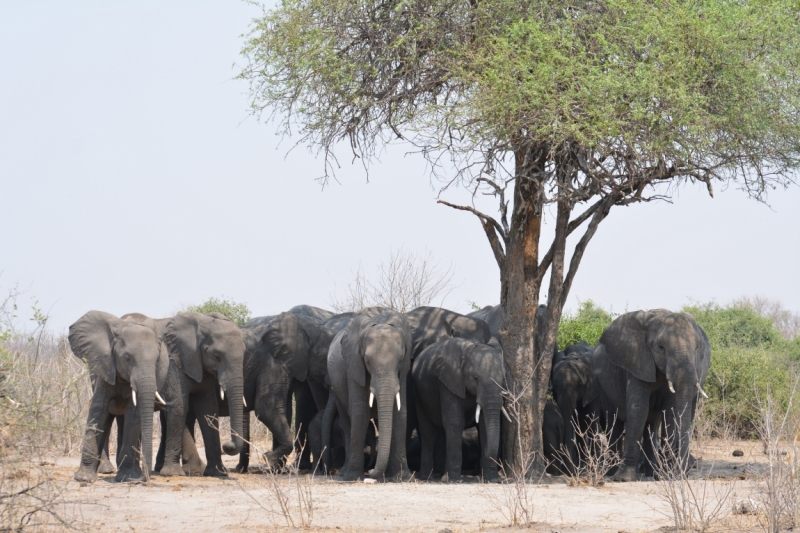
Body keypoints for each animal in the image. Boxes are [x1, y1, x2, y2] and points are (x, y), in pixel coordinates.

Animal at [69, 312, 170, 482]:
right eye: (127, 358)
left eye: (157, 360)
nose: (146, 478)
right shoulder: (106, 367)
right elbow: (98, 410)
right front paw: (83, 478)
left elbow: (134, 415)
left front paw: (126, 477)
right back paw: (109, 470)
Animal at [326, 310, 412, 480]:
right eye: (367, 361)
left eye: (400, 361)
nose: (370, 471)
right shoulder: (353, 366)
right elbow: (360, 412)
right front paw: (353, 478)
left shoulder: (402, 373)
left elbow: (400, 413)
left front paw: (402, 477)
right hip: (336, 387)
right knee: (347, 422)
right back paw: (344, 473)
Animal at [412, 336, 506, 482]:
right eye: (475, 378)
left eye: (502, 378)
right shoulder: (447, 381)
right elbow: (455, 422)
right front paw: (454, 480)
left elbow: (484, 424)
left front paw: (493, 480)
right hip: (418, 392)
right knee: (427, 431)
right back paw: (427, 476)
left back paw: (443, 476)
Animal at [592, 310, 708, 480]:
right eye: (660, 347)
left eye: (697, 347)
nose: (682, 474)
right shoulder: (637, 363)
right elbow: (638, 408)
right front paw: (624, 479)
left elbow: (670, 411)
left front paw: (667, 475)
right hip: (601, 384)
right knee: (613, 422)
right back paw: (611, 473)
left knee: (650, 427)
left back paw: (652, 473)